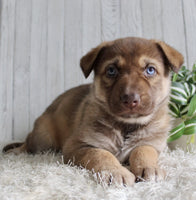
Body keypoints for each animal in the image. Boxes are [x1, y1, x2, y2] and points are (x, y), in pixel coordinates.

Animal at [3, 37, 184, 188]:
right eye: (111, 71)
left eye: (150, 70)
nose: (130, 99)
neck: (126, 126)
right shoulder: (79, 145)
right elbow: (101, 154)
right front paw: (116, 172)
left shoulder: (153, 144)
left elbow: (143, 150)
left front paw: (150, 168)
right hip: (43, 139)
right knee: (28, 144)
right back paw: (15, 151)